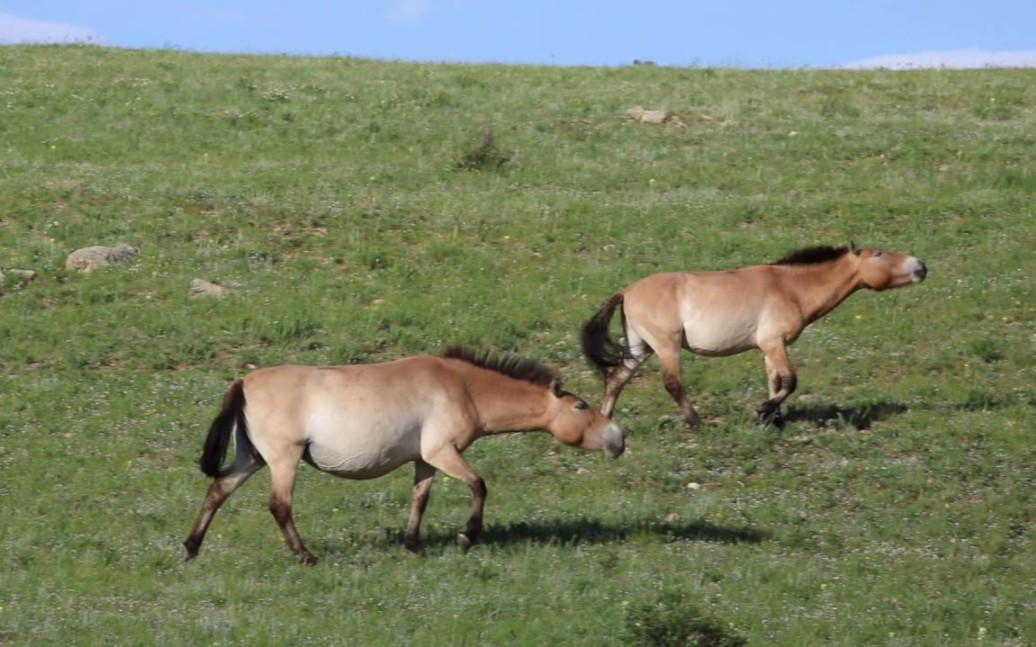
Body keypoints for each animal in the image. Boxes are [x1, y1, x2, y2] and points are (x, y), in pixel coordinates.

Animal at [183, 345, 621, 563]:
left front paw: (416, 546)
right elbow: (479, 485)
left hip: (252, 458)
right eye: (581, 405)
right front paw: (466, 537)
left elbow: (420, 500)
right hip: (282, 460)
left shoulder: (425, 460)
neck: (462, 386)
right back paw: (305, 556)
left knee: (218, 490)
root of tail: (243, 382)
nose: (618, 438)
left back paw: (191, 549)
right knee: (279, 506)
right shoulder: (442, 451)